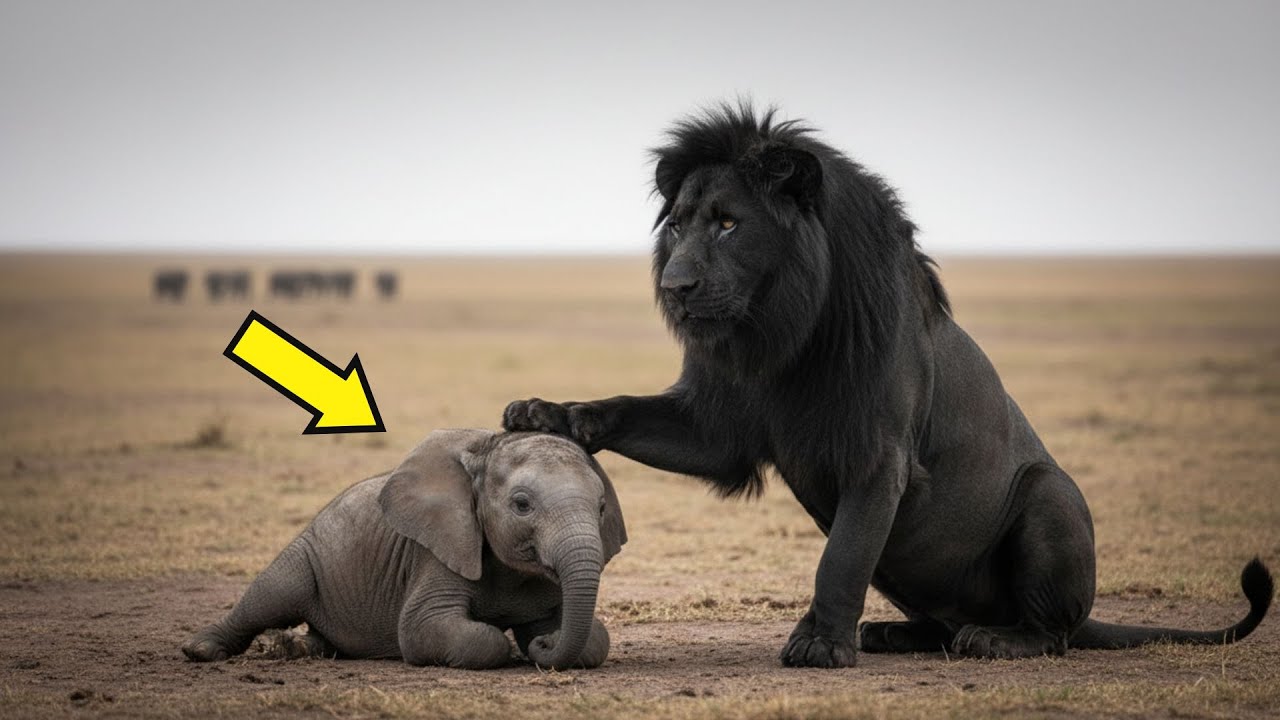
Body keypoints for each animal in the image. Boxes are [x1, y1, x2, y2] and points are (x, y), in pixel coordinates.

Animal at [181, 429, 627, 670]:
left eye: (601, 507)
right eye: (521, 505)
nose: (543, 645)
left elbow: (594, 640)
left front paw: (543, 636)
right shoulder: (439, 547)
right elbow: (425, 629)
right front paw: (516, 644)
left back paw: (294, 650)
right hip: (307, 551)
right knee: (271, 596)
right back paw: (201, 650)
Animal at [504, 104, 1272, 667]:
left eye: (726, 223)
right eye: (681, 225)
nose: (675, 285)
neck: (779, 333)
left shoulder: (878, 457)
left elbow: (841, 556)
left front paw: (820, 645)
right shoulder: (719, 426)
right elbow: (622, 410)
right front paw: (542, 412)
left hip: (1050, 497)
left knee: (1053, 631)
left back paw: (992, 639)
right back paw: (893, 634)